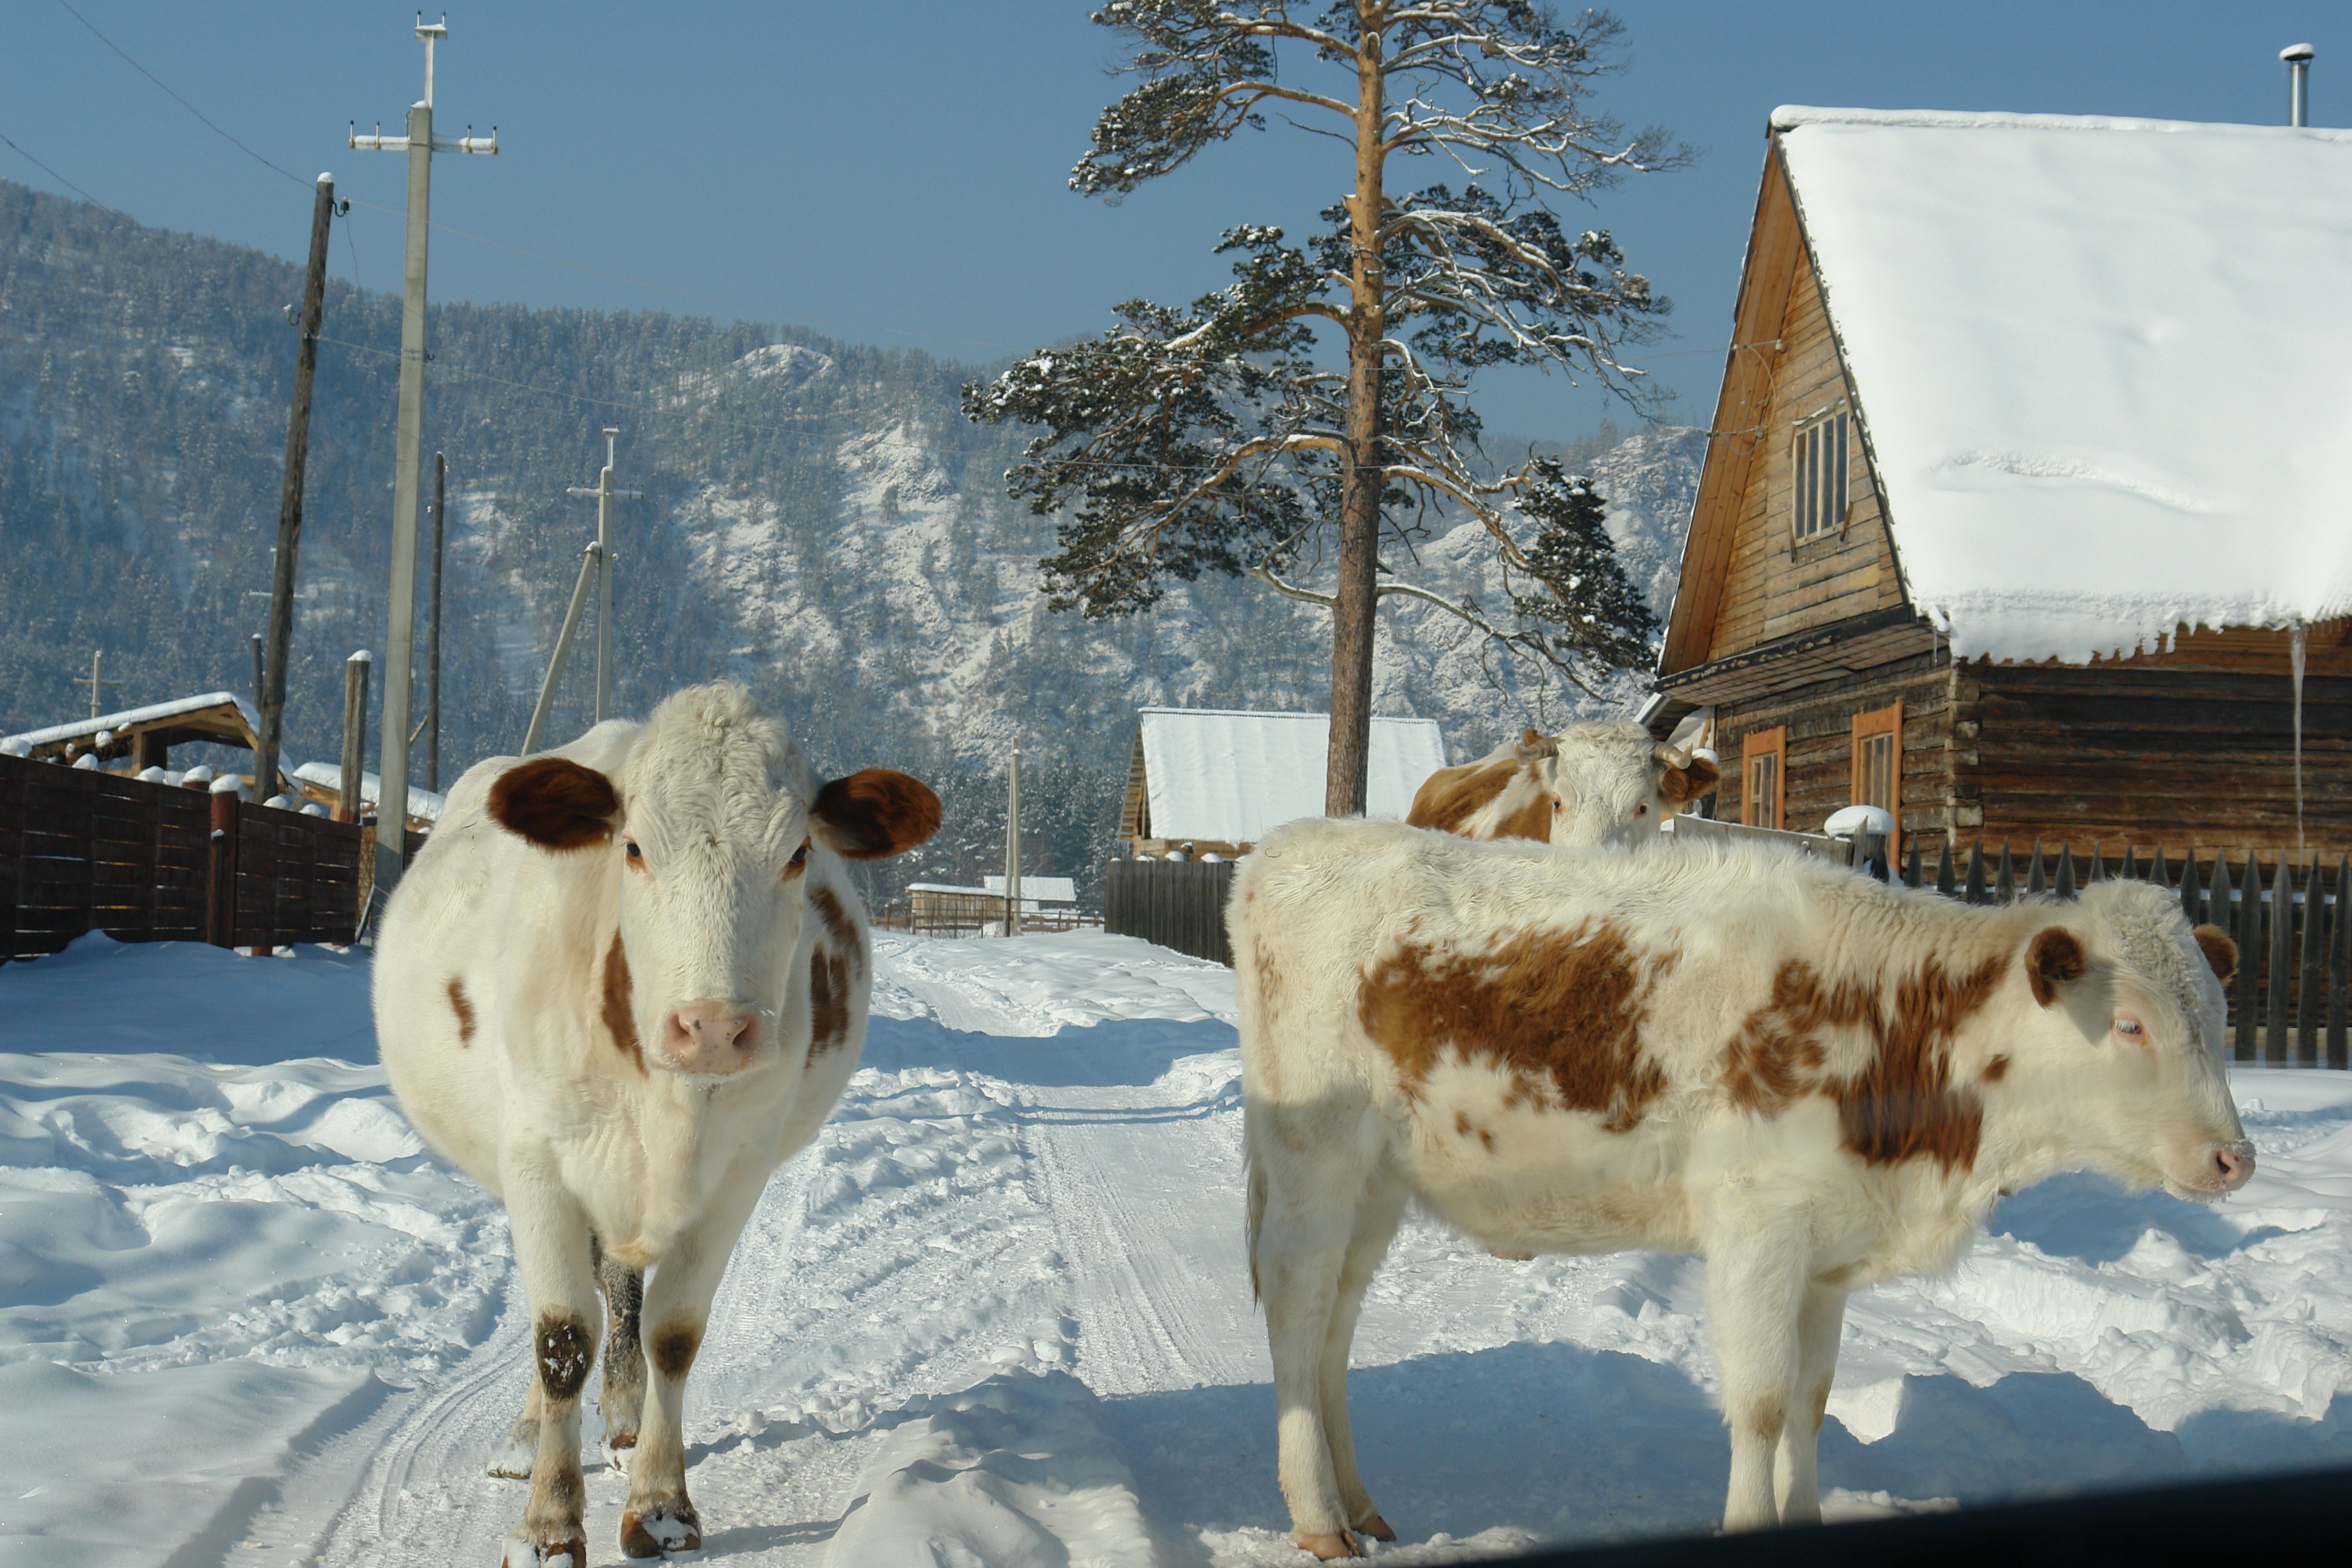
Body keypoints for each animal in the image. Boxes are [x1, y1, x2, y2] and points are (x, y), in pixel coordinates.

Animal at [376, 686, 936, 1568]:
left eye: (797, 854)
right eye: (634, 848)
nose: (712, 1028)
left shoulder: (738, 1174)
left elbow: (672, 1332)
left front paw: (661, 1506)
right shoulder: (537, 1164)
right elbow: (561, 1339)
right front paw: (547, 1525)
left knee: (622, 1293)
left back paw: (624, 1424)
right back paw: (528, 1438)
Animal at [1232, 823, 2239, 1561]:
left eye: (2221, 1021)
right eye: (2131, 1024)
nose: (2237, 1157)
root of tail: (1291, 843)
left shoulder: (1829, 1253)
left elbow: (1811, 1401)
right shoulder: (1760, 1228)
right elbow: (1758, 1403)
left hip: (1377, 1186)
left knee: (1334, 1325)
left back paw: (1361, 1506)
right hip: (1314, 1156)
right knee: (1294, 1307)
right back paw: (1318, 1518)